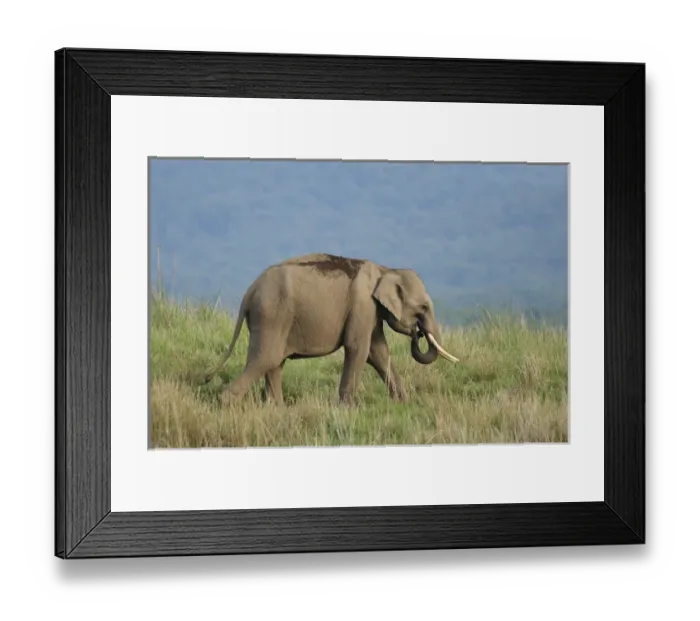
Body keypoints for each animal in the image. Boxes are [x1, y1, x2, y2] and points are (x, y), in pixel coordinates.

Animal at [204, 253, 459, 405]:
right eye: (423, 307)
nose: (417, 333)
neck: (386, 269)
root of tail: (249, 292)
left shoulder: (371, 311)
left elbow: (378, 351)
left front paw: (403, 403)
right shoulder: (363, 305)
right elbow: (359, 349)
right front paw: (347, 409)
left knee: (274, 363)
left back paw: (276, 409)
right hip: (272, 316)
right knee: (266, 359)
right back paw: (226, 403)